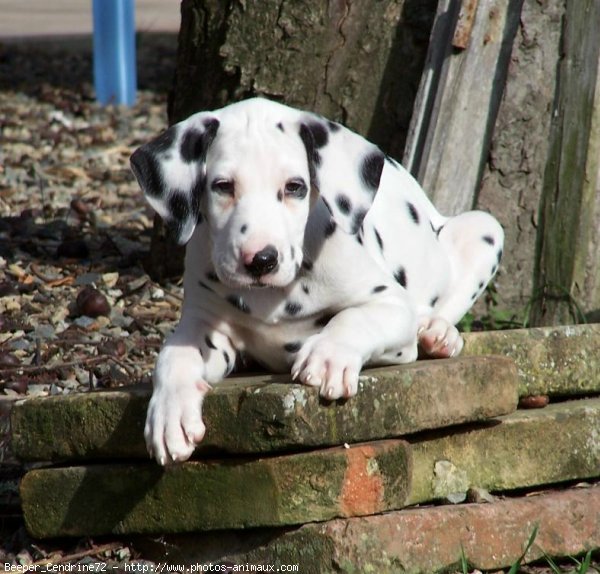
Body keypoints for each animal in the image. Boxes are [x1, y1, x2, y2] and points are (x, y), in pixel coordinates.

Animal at [132, 98, 506, 468]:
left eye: (294, 187)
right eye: (223, 186)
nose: (261, 260)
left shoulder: (392, 304)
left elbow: (354, 317)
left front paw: (329, 356)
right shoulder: (204, 325)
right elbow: (172, 356)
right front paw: (169, 414)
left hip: (485, 228)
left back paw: (439, 335)